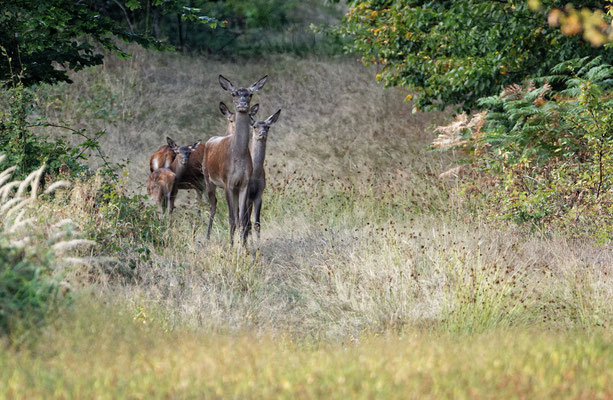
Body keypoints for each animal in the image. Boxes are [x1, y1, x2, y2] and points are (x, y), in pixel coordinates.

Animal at [203, 73, 268, 245]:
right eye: (233, 94)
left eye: (250, 94)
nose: (243, 104)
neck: (237, 157)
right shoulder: (228, 182)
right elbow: (232, 218)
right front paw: (232, 246)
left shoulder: (244, 183)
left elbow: (242, 219)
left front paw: (244, 246)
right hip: (208, 179)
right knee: (213, 207)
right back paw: (207, 238)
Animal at [245, 109, 280, 239]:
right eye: (255, 126)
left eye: (268, 126)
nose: (262, 133)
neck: (254, 174)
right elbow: (247, 223)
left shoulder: (259, 194)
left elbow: (257, 224)